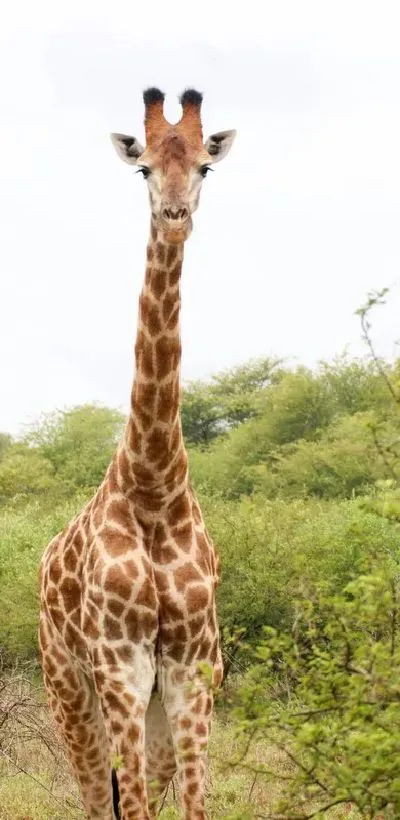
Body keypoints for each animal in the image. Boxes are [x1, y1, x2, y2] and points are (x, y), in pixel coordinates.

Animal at [39, 87, 236, 820]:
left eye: (204, 166)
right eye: (143, 168)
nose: (175, 219)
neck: (153, 481)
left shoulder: (191, 666)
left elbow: (195, 806)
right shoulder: (121, 665)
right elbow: (137, 808)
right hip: (67, 685)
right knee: (99, 798)